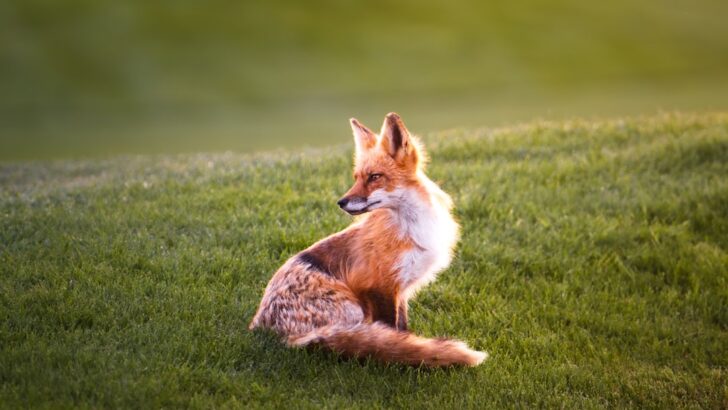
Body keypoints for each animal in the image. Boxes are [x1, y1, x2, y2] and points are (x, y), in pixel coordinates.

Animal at [249, 113, 487, 367]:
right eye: (356, 178)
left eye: (374, 177)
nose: (341, 202)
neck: (411, 229)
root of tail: (268, 332)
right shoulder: (378, 286)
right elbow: (393, 332)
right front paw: (403, 352)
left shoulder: (400, 289)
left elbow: (402, 329)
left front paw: (408, 345)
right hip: (354, 313)